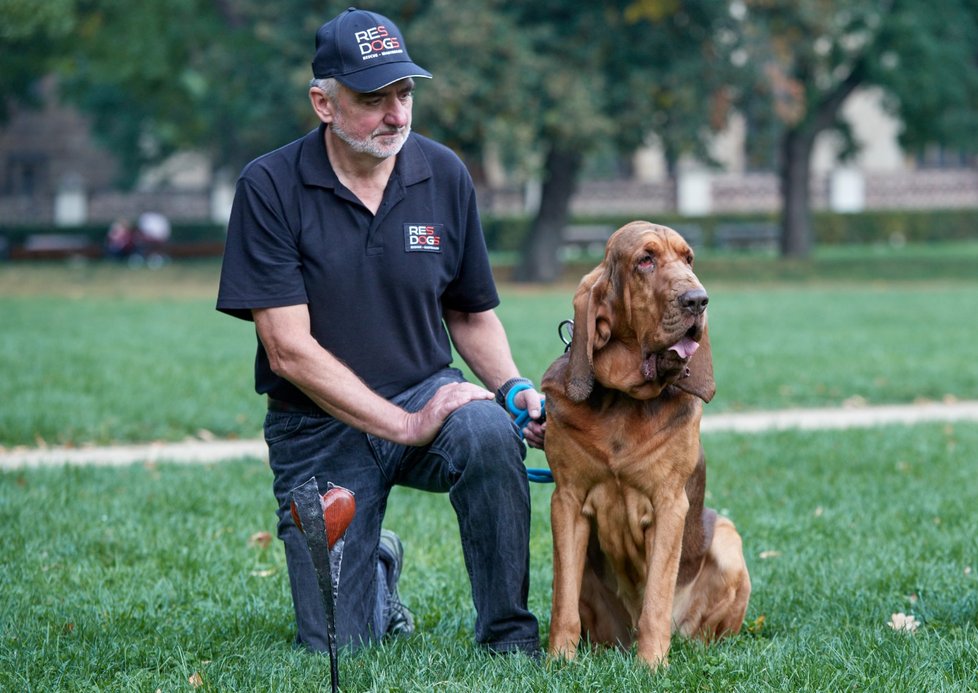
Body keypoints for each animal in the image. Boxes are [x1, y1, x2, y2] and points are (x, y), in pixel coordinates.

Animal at [540, 220, 748, 664]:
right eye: (645, 260)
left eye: (689, 258)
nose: (698, 300)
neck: (625, 399)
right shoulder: (566, 501)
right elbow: (562, 602)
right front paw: (559, 661)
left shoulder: (669, 504)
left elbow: (655, 597)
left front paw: (651, 665)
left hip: (727, 538)